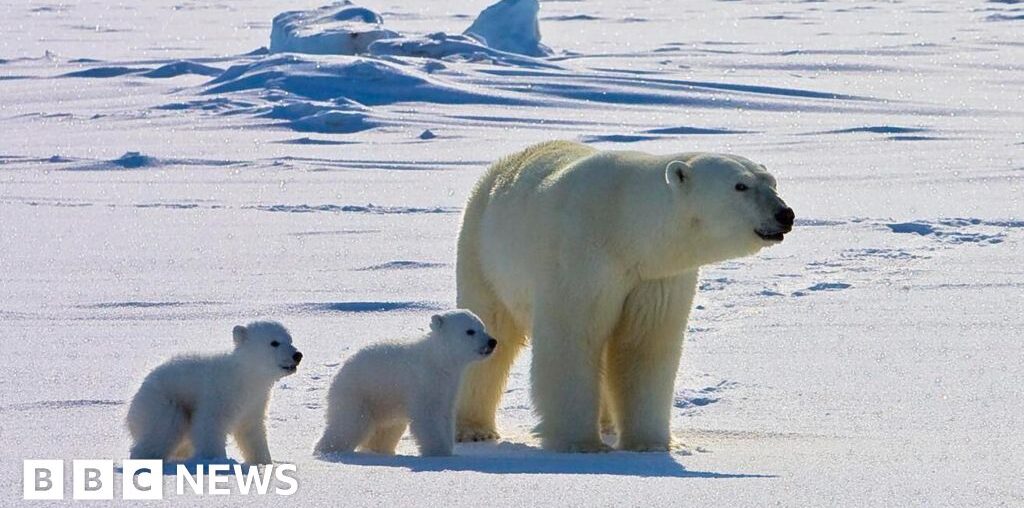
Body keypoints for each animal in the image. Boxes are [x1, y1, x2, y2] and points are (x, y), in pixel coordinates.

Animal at [454, 140, 790, 452]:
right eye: (740, 185)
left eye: (772, 182)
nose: (785, 214)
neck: (624, 227)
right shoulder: (580, 259)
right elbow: (573, 339)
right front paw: (580, 443)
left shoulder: (655, 277)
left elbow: (644, 345)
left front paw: (651, 444)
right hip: (482, 253)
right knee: (491, 329)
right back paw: (473, 429)